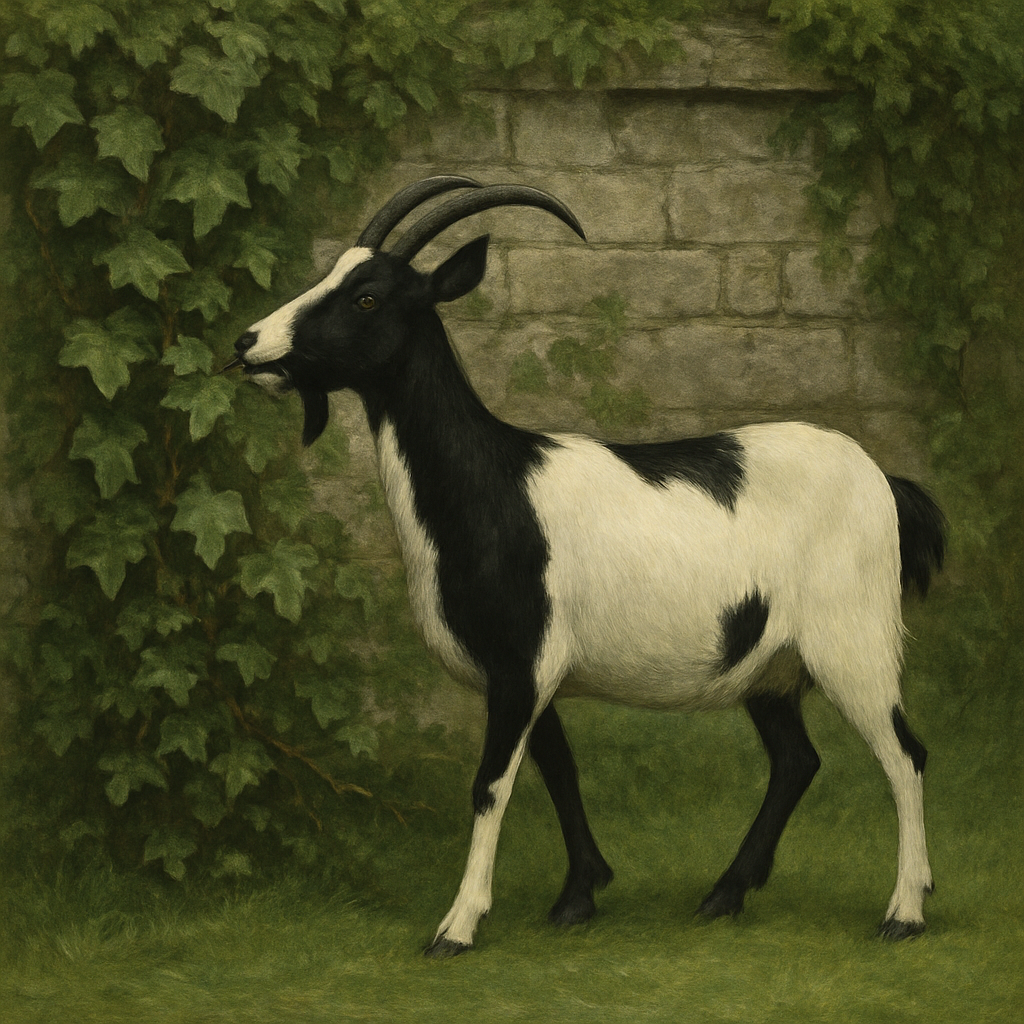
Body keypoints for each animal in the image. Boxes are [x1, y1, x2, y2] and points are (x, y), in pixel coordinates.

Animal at [228, 176, 947, 957]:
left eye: (366, 297)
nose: (247, 343)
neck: (494, 484)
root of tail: (885, 481)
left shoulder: (521, 665)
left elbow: (491, 784)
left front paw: (457, 925)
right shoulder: (530, 674)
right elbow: (559, 770)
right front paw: (578, 896)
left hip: (853, 642)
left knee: (905, 755)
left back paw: (904, 911)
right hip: (767, 666)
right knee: (796, 761)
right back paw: (725, 895)